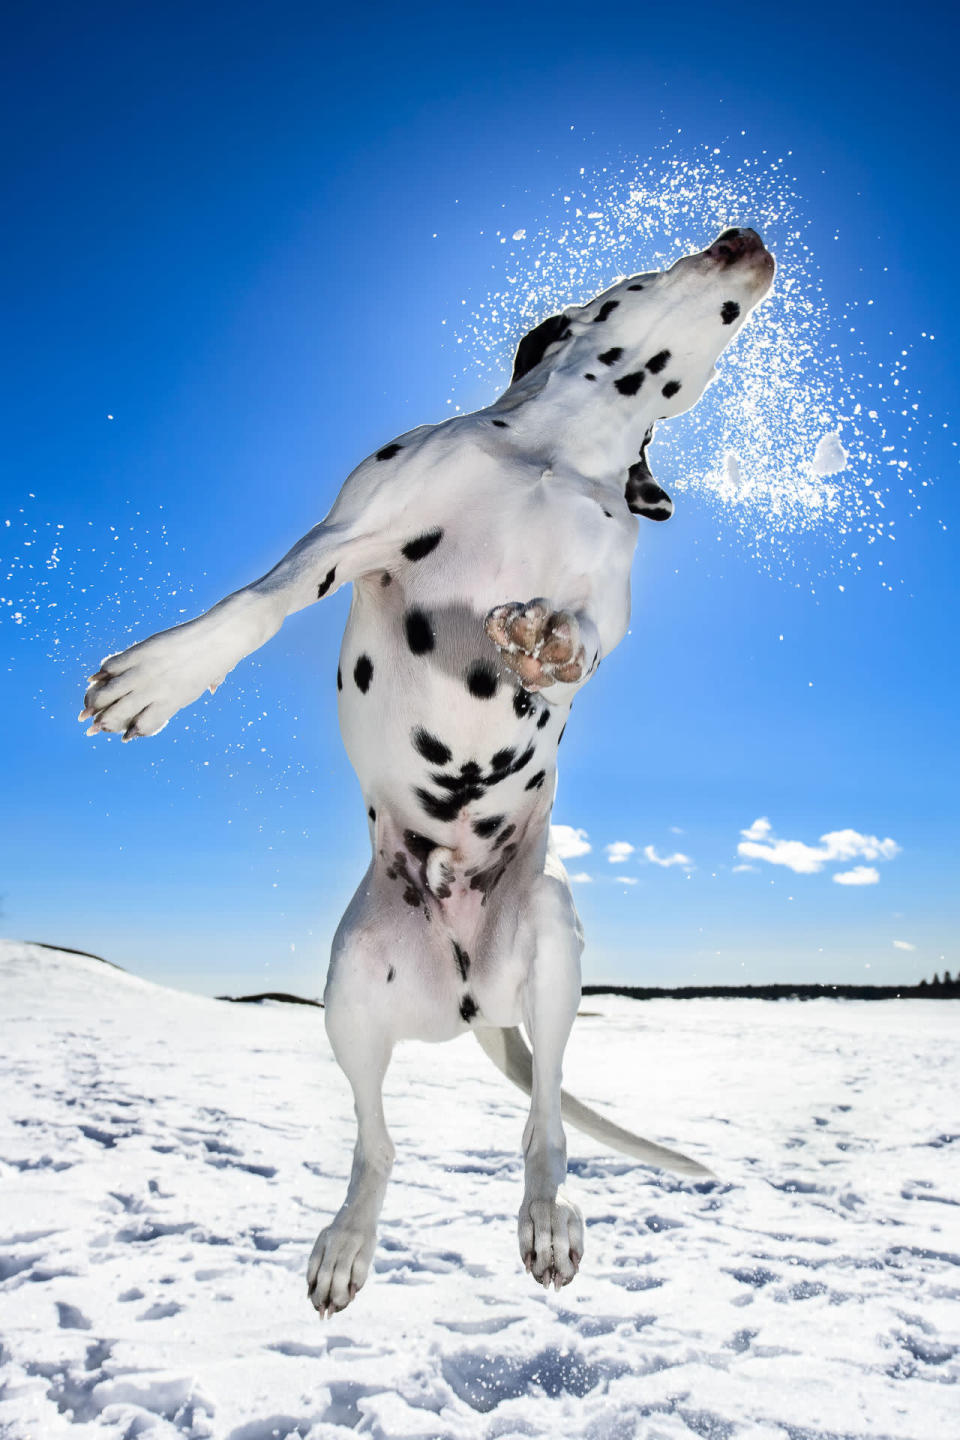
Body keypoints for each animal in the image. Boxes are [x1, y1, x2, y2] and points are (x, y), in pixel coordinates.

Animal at [80, 224, 771, 1319]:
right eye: (643, 273)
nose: (743, 234)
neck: (554, 457)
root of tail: (469, 997)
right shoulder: (350, 534)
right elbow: (259, 603)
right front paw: (164, 674)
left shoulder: (608, 604)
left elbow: (583, 634)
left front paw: (546, 648)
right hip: (351, 994)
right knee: (378, 1145)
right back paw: (349, 1239)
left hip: (552, 946)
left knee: (545, 1122)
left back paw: (547, 1217)